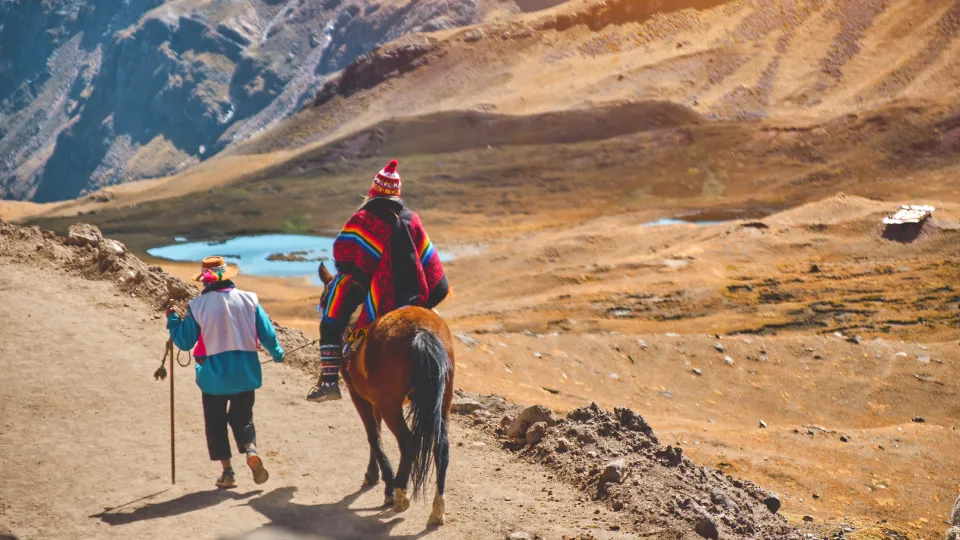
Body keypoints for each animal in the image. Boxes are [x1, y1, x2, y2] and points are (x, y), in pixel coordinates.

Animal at [316, 264, 456, 524]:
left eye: (324, 297)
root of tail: (422, 332)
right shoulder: (373, 399)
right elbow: (376, 432)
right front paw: (374, 475)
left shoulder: (359, 395)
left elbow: (373, 435)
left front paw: (386, 486)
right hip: (443, 402)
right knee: (440, 446)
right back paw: (437, 510)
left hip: (391, 405)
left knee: (408, 441)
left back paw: (400, 493)